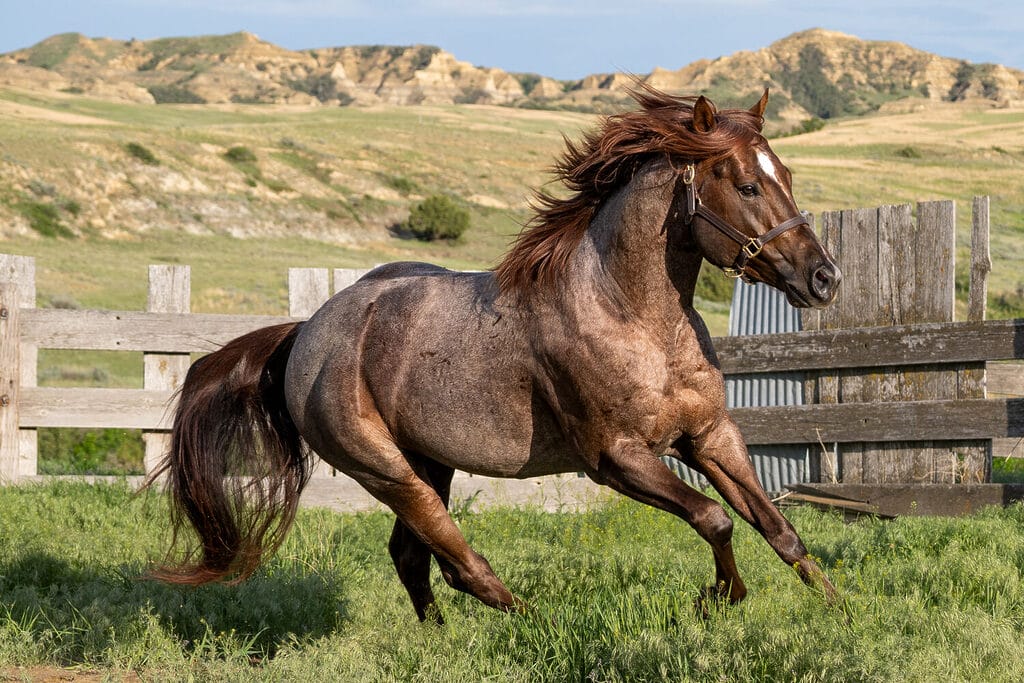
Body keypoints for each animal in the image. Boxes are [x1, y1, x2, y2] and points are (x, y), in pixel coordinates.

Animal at [150, 86, 842, 623]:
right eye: (748, 185)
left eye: (786, 176)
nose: (824, 278)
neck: (631, 316)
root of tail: (307, 333)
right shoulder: (616, 458)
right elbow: (713, 518)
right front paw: (720, 597)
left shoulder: (710, 435)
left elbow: (778, 529)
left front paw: (836, 606)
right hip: (386, 471)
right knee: (458, 561)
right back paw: (531, 620)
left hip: (429, 462)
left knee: (411, 557)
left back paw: (442, 637)